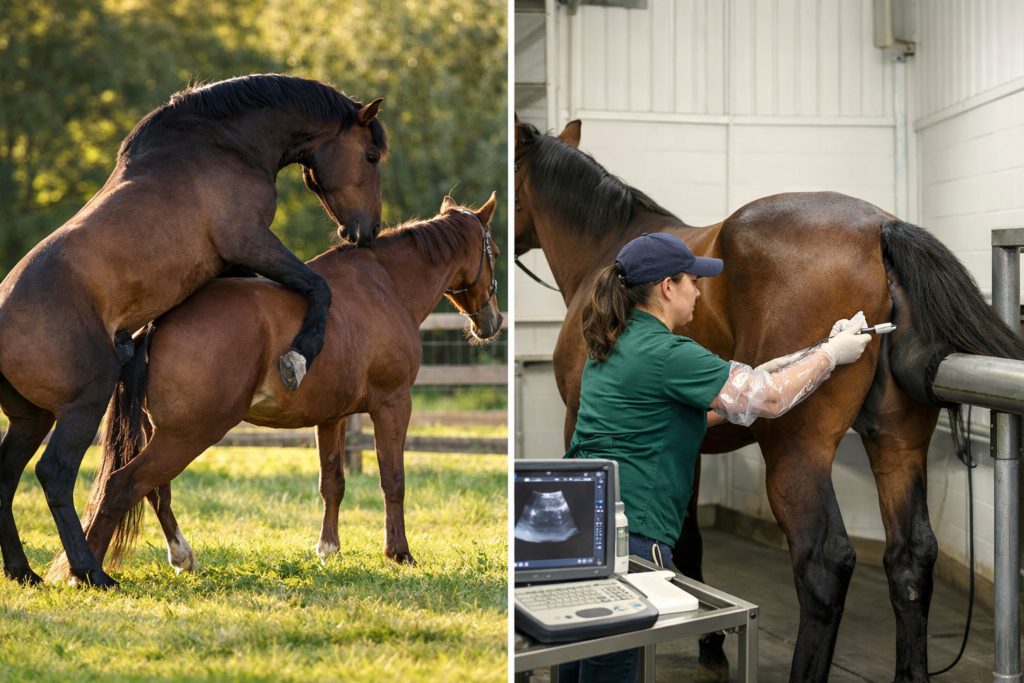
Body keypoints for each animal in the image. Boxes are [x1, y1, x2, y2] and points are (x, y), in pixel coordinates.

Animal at [0, 74, 387, 588]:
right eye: (370, 156)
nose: (367, 231)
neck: (222, 144)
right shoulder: (251, 243)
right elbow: (317, 287)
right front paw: (298, 356)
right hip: (83, 403)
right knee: (56, 473)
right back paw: (91, 572)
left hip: (32, 418)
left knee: (6, 476)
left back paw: (23, 571)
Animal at [44, 194, 501, 582]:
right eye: (493, 253)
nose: (492, 322)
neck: (385, 285)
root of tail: (157, 324)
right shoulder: (393, 404)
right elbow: (393, 480)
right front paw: (399, 552)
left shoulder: (332, 416)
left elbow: (332, 482)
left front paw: (328, 549)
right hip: (189, 433)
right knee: (123, 486)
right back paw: (88, 572)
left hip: (162, 432)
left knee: (154, 490)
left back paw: (180, 555)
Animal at [513, 117, 1024, 683]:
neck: (607, 254)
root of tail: (878, 228)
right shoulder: (690, 443)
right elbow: (686, 540)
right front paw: (711, 645)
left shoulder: (579, 422)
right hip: (897, 443)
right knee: (910, 559)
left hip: (795, 453)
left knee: (824, 563)